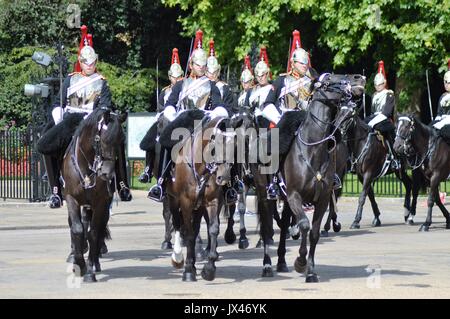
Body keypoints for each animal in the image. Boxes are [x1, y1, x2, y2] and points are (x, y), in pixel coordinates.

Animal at [60, 108, 125, 282]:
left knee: (98, 229)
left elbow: (93, 233)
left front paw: (89, 270)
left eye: (121, 140)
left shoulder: (101, 203)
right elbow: (77, 229)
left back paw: (95, 262)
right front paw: (79, 264)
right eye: (101, 139)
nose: (107, 174)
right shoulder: (71, 199)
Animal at [162, 111, 239, 282]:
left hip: (199, 206)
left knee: (195, 227)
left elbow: (213, 229)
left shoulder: (212, 202)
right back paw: (178, 258)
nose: (223, 177)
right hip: (173, 199)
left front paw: (209, 269)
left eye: (235, 145)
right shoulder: (185, 202)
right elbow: (189, 233)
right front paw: (188, 271)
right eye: (215, 146)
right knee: (177, 223)